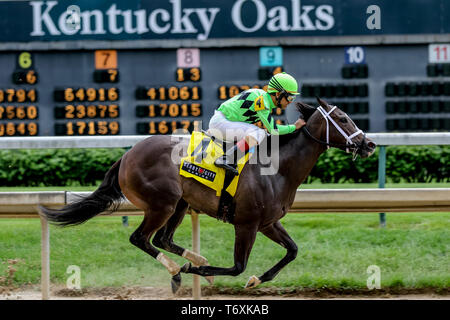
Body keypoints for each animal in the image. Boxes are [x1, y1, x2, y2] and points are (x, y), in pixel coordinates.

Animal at [39, 97, 376, 292]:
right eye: (342, 118)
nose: (369, 144)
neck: (278, 168)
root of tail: (127, 155)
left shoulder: (268, 222)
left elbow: (292, 251)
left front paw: (255, 279)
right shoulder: (247, 224)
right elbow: (238, 267)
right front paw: (201, 271)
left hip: (179, 203)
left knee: (162, 239)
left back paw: (189, 262)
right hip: (161, 204)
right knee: (141, 238)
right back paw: (178, 270)